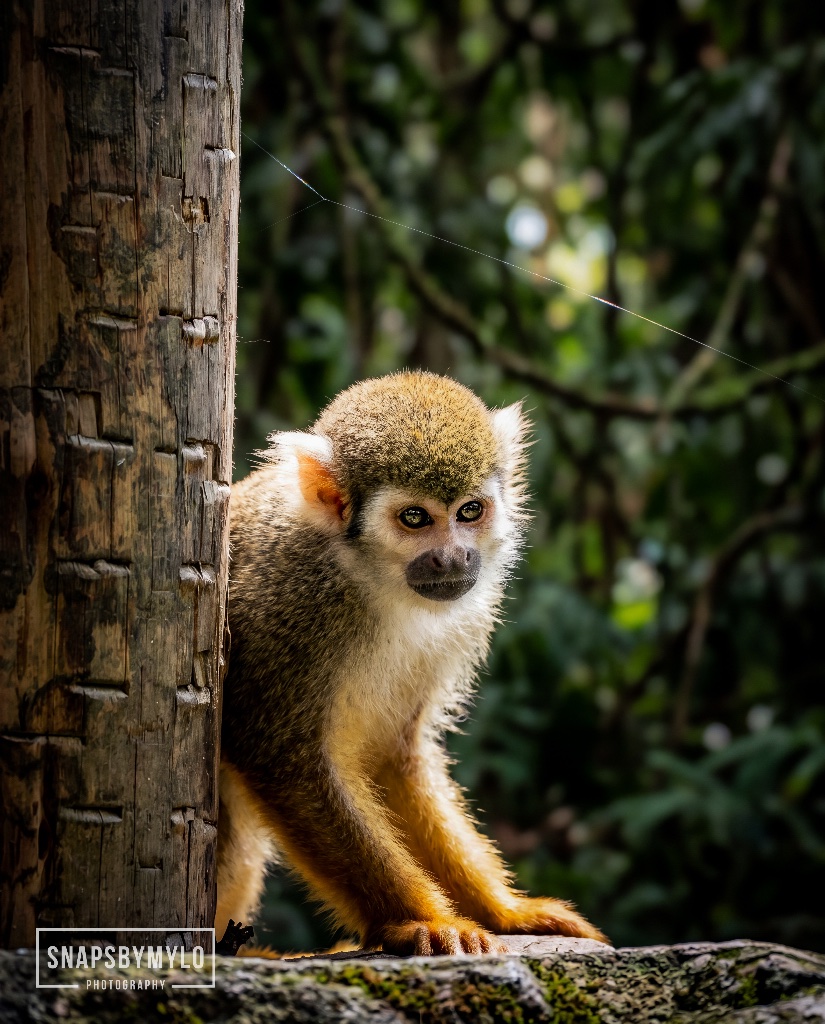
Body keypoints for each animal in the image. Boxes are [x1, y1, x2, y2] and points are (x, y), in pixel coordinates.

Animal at [216, 370, 606, 954]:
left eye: (469, 512)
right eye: (415, 518)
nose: (453, 558)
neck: (366, 577)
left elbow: (393, 756)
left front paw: (504, 913)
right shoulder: (286, 604)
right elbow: (280, 759)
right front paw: (420, 921)